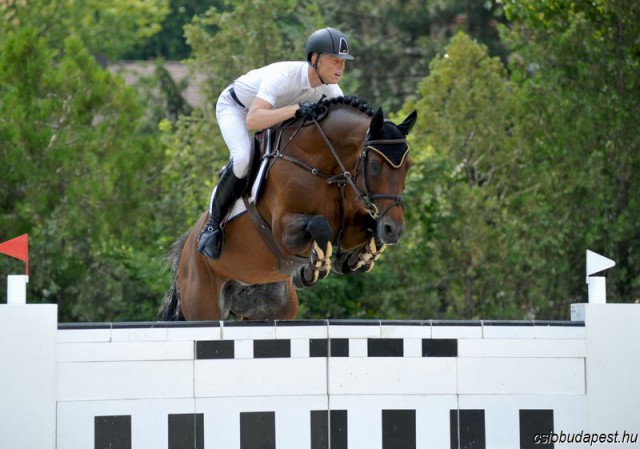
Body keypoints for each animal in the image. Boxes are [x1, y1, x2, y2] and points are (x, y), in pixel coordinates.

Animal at [160, 95, 418, 318]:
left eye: (408, 165)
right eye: (374, 165)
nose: (394, 229)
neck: (324, 168)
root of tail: (186, 247)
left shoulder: (347, 228)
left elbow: (367, 229)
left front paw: (361, 257)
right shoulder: (284, 233)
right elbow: (320, 225)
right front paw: (313, 269)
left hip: (274, 306)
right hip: (204, 304)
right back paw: (210, 238)